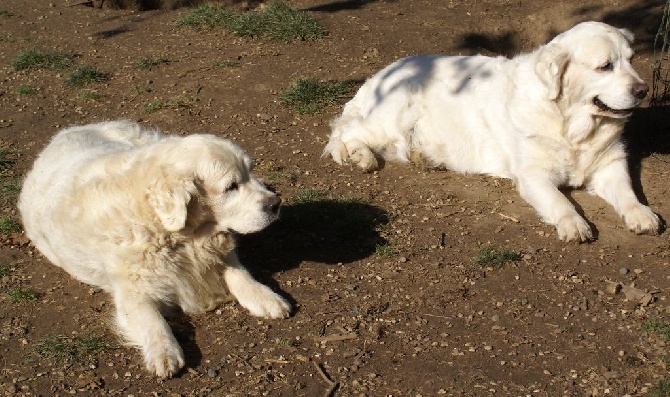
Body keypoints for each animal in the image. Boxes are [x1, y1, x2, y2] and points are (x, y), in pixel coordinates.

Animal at [18, 120, 290, 378]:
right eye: (231, 186)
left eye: (250, 171)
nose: (275, 203)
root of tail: (70, 130)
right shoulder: (132, 290)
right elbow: (152, 319)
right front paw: (164, 351)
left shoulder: (216, 250)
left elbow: (239, 273)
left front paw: (266, 297)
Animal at [324, 21, 660, 241]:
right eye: (605, 66)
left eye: (631, 60)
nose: (643, 90)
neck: (571, 125)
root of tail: (382, 72)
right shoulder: (533, 175)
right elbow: (560, 201)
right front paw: (574, 224)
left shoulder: (610, 164)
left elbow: (628, 193)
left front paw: (642, 214)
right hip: (391, 119)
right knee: (346, 131)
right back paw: (363, 157)